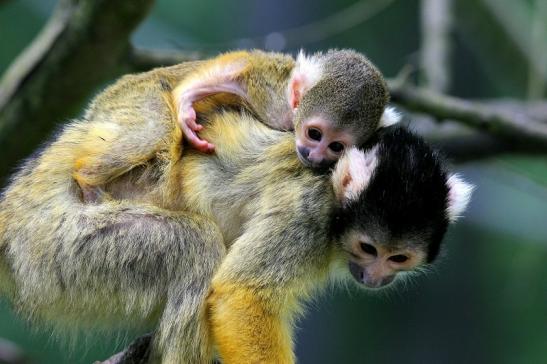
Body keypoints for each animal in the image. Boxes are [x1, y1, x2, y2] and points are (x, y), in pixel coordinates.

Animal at [173, 48, 400, 166]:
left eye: (336, 146)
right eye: (314, 134)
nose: (314, 156)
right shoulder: (276, 107)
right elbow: (245, 69)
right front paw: (185, 105)